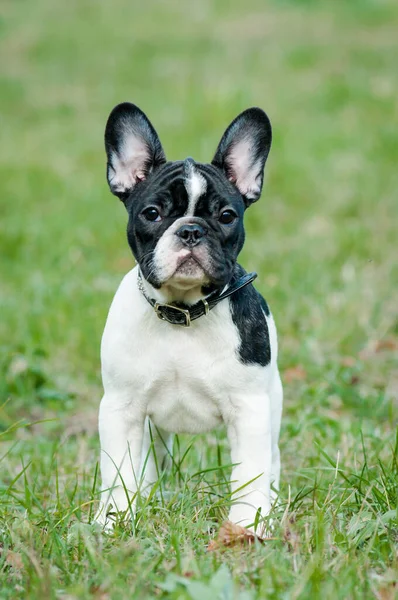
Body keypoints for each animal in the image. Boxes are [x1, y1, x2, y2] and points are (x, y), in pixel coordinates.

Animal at [95, 103, 282, 536]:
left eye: (227, 216)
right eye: (152, 213)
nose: (192, 230)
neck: (181, 312)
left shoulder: (250, 410)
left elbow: (250, 475)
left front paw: (246, 527)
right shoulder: (120, 409)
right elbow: (120, 473)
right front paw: (115, 523)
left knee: (272, 462)